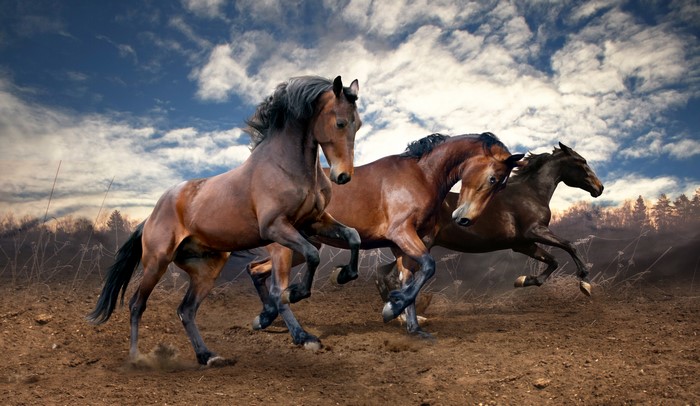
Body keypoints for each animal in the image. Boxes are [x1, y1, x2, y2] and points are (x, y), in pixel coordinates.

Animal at [87, 76, 362, 366]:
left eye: (358, 124)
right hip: (156, 263)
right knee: (137, 304)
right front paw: (297, 302)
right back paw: (136, 357)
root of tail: (150, 216)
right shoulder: (276, 228)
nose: (343, 176)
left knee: (185, 310)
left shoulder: (314, 222)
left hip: (207, 269)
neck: (286, 166)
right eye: (340, 122)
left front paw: (343, 274)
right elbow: (309, 257)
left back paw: (207, 356)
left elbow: (352, 236)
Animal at [247, 132, 524, 345]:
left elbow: (410, 279)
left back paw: (264, 318)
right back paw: (301, 336)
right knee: (277, 289)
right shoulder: (401, 233)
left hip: (302, 247)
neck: (422, 175)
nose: (465, 219)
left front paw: (413, 327)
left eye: (500, 185)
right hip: (285, 248)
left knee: (256, 270)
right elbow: (428, 267)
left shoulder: (403, 245)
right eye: (493, 178)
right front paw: (392, 308)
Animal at [376, 142, 604, 333]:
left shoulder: (523, 244)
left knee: (383, 274)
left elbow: (553, 260)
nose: (599, 188)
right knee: (393, 277)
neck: (530, 193)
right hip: (420, 246)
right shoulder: (534, 231)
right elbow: (569, 246)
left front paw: (523, 280)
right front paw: (585, 284)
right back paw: (405, 318)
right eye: (581, 161)